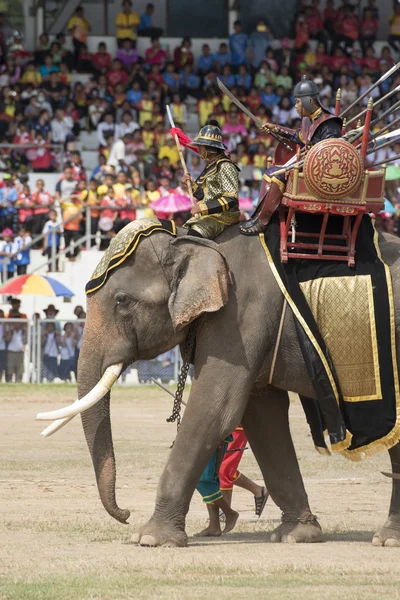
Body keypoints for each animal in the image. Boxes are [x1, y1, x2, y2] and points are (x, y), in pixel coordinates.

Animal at [38, 221, 400, 548]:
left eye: (122, 300)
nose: (125, 513)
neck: (194, 240)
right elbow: (263, 419)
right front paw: (295, 535)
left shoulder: (241, 315)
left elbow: (215, 410)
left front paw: (149, 539)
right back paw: (388, 538)